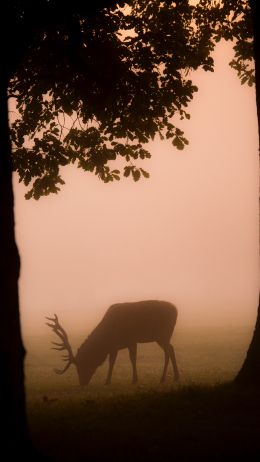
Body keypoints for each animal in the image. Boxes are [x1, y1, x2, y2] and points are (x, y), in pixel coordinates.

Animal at [45, 298, 180, 384]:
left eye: (81, 365)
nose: (82, 383)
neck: (107, 339)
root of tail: (176, 309)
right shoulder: (118, 345)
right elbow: (118, 361)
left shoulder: (129, 341)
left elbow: (125, 360)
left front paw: (117, 380)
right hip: (163, 337)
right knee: (171, 348)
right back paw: (176, 377)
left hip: (163, 334)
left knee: (168, 351)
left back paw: (163, 378)